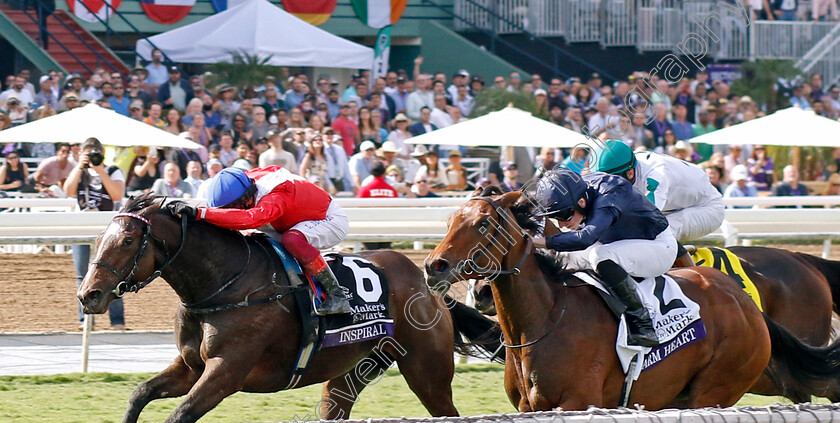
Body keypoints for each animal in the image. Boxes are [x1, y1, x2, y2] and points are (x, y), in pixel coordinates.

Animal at [75, 195, 498, 423]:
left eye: (128, 240)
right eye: (98, 237)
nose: (88, 295)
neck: (223, 285)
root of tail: (426, 285)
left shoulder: (226, 372)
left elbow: (179, 413)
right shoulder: (191, 366)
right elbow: (140, 394)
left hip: (427, 371)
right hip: (351, 369)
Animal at [426, 191, 840, 410]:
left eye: (482, 223)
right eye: (449, 221)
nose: (434, 266)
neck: (545, 320)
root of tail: (746, 304)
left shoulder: (578, 402)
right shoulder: (530, 408)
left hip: (717, 389)